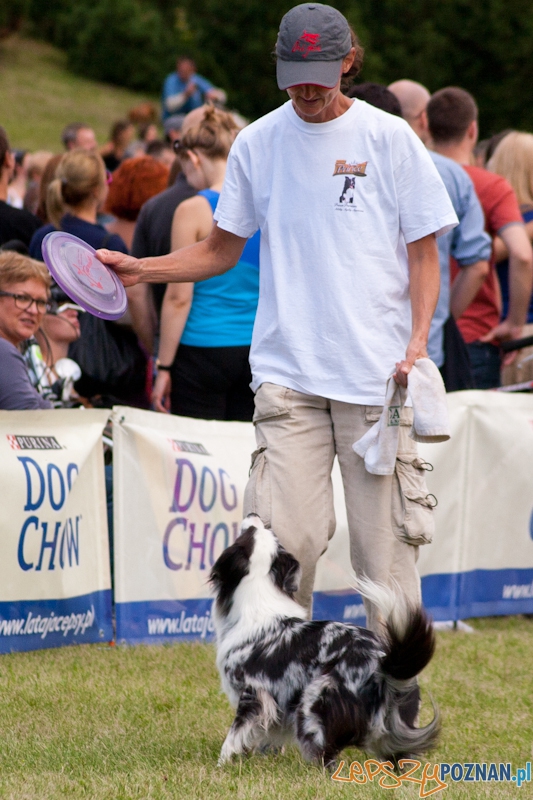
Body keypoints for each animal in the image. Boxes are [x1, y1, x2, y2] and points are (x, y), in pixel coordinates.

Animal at [208, 516, 436, 764]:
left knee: (326, 757)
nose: (254, 515)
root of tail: (384, 662)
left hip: (314, 704)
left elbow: (234, 737)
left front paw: (222, 764)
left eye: (248, 533)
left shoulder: (253, 695)